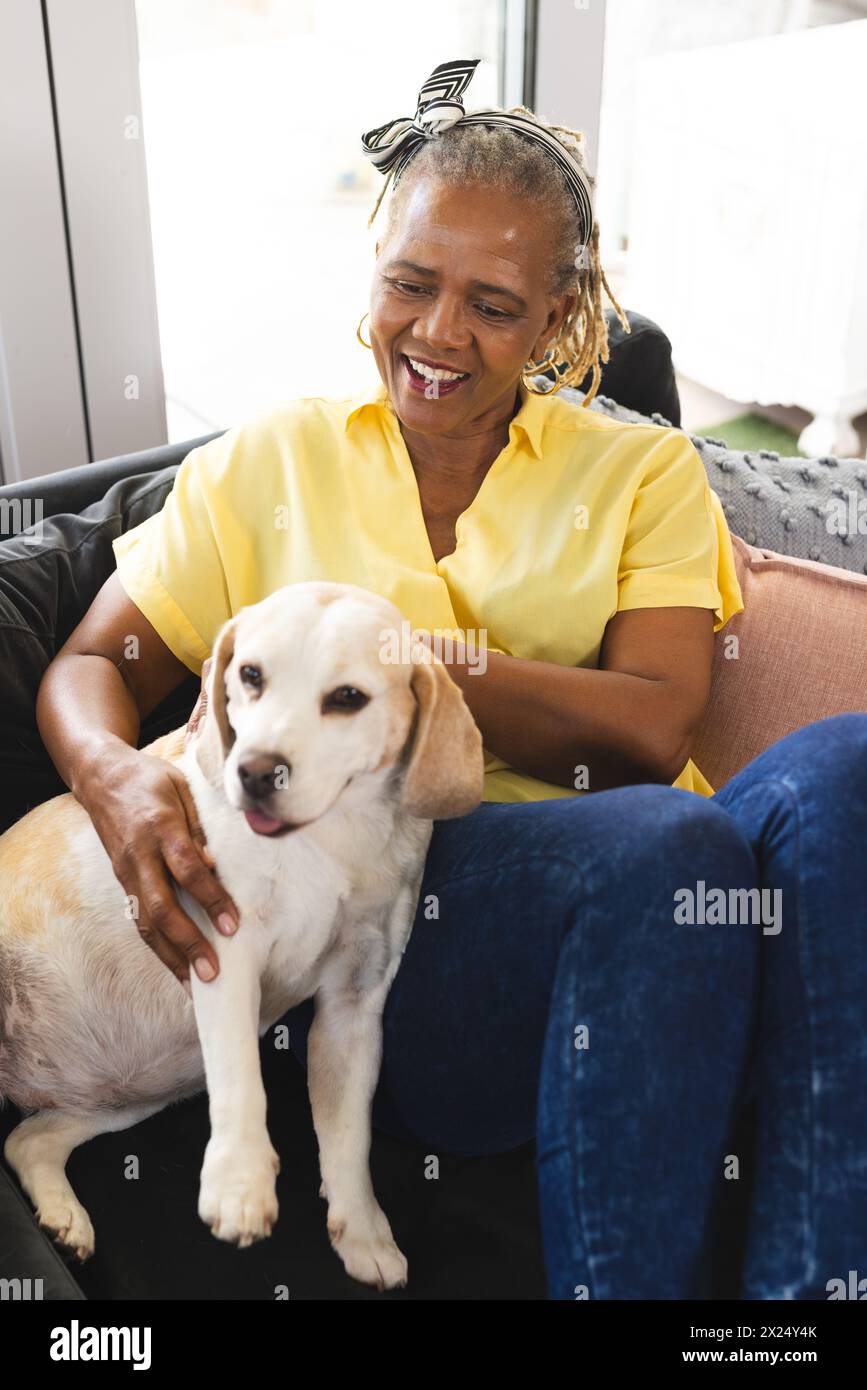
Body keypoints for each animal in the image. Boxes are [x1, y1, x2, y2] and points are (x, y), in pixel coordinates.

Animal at [0, 581, 483, 1284]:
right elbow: (242, 1085)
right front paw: (240, 1183)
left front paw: (362, 1231)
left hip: (134, 1092)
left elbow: (349, 1138)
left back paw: (64, 1216)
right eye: (250, 675)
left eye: (348, 697)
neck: (332, 840)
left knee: (26, 1141)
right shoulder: (223, 960)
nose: (256, 771)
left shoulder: (354, 1007)